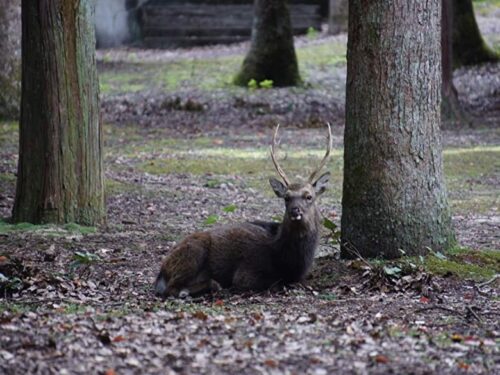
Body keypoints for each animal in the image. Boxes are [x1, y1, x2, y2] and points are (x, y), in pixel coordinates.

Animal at [153, 125, 332, 298]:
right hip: (193, 252)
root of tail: (161, 272)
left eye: (309, 196)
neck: (288, 261)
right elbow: (274, 283)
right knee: (172, 289)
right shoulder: (246, 272)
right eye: (286, 197)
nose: (295, 211)